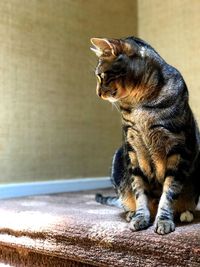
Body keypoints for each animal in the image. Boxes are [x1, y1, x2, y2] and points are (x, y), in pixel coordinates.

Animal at [90, 36, 200, 236]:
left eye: (101, 75)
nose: (98, 93)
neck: (139, 103)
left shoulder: (177, 150)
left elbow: (169, 191)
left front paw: (164, 221)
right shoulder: (133, 151)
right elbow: (139, 191)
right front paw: (140, 217)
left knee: (182, 203)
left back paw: (185, 214)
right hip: (119, 157)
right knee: (128, 200)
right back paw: (131, 214)